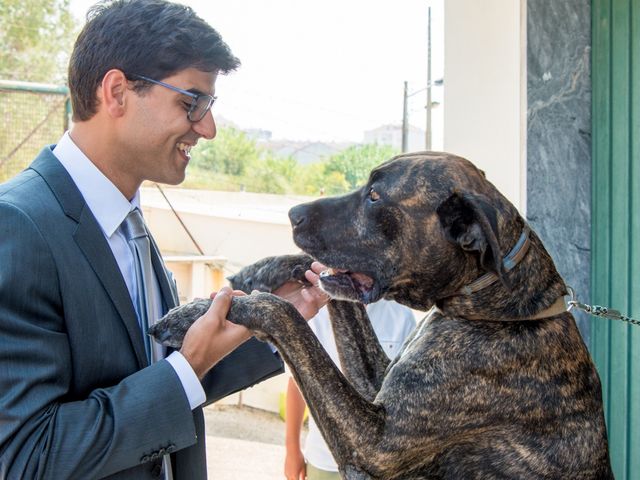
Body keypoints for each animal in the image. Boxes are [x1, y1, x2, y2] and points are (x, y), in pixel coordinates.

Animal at [148, 153, 612, 476]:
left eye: (374, 196)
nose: (292, 214)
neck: (492, 310)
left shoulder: (375, 442)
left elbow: (284, 314)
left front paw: (199, 312)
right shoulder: (375, 384)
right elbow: (316, 275)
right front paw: (252, 273)